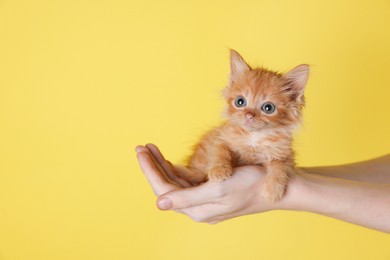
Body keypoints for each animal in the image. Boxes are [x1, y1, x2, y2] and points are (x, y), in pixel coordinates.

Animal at [179, 49, 308, 202]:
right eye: (240, 102)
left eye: (268, 108)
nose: (249, 115)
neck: (254, 137)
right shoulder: (220, 137)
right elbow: (219, 151)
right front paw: (219, 170)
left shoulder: (285, 155)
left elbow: (279, 167)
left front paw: (273, 190)